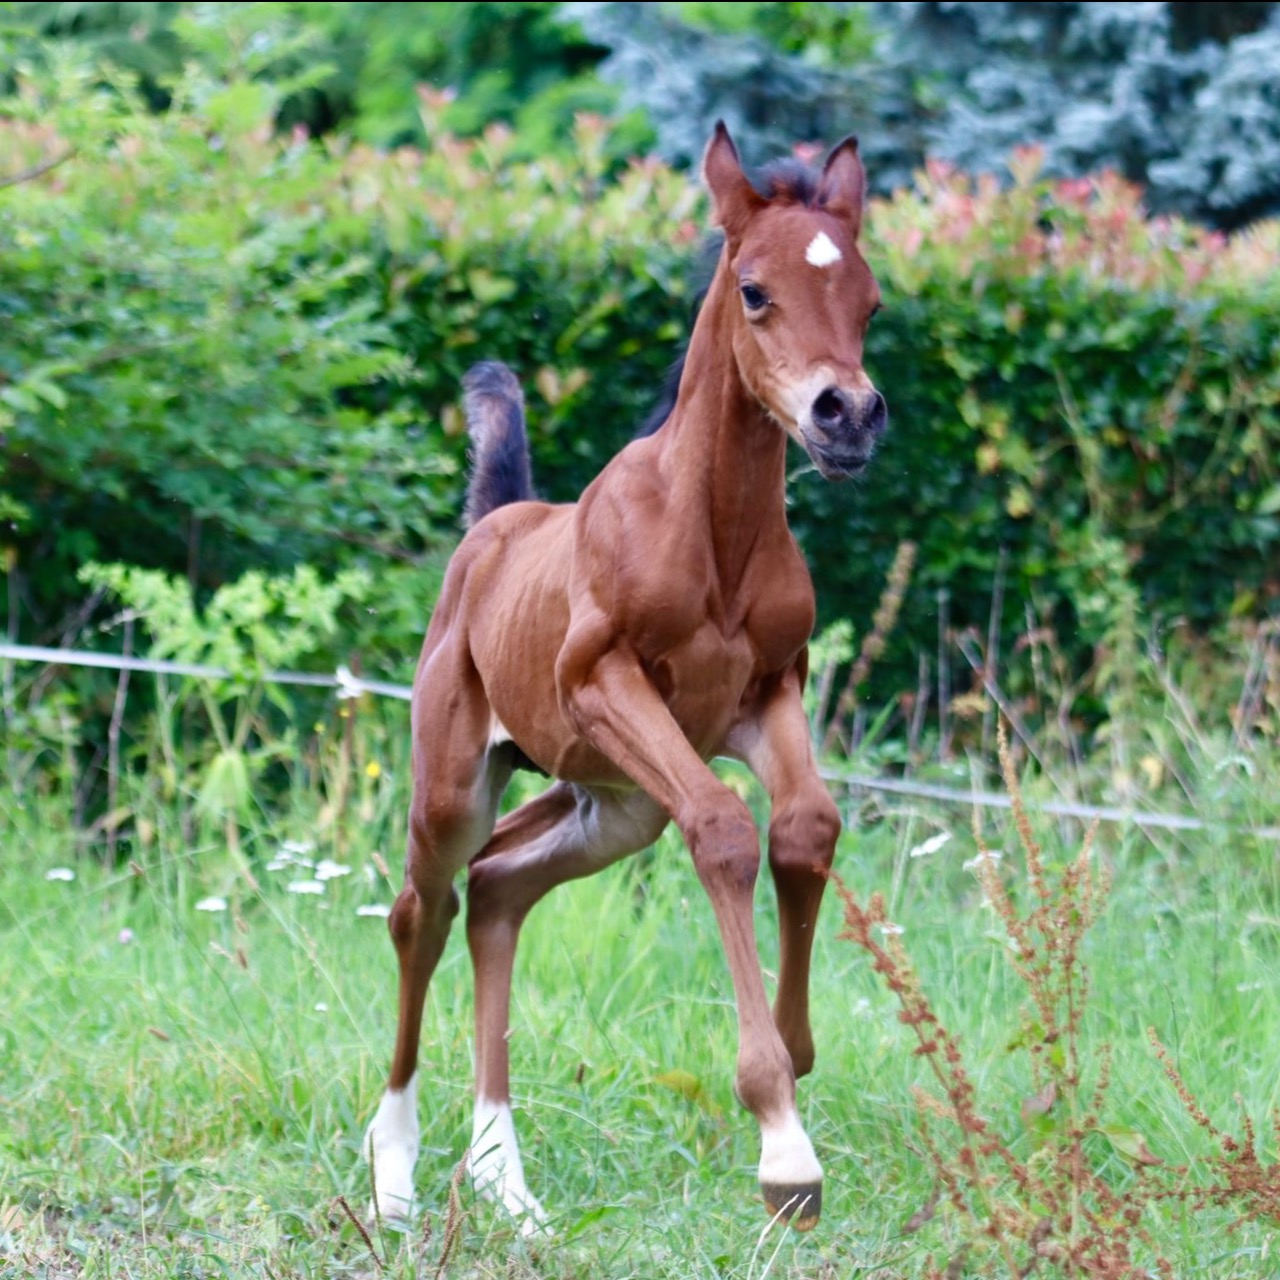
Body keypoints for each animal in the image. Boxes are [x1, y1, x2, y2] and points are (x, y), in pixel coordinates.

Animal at [368, 124, 890, 1233]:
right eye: (753, 289)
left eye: (868, 300)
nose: (847, 416)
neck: (714, 533)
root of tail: (492, 527)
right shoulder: (601, 684)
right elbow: (727, 832)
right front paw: (782, 1140)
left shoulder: (767, 693)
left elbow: (805, 828)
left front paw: (797, 1053)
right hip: (461, 783)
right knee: (423, 908)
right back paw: (393, 1172)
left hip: (608, 803)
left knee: (499, 890)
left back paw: (503, 1177)